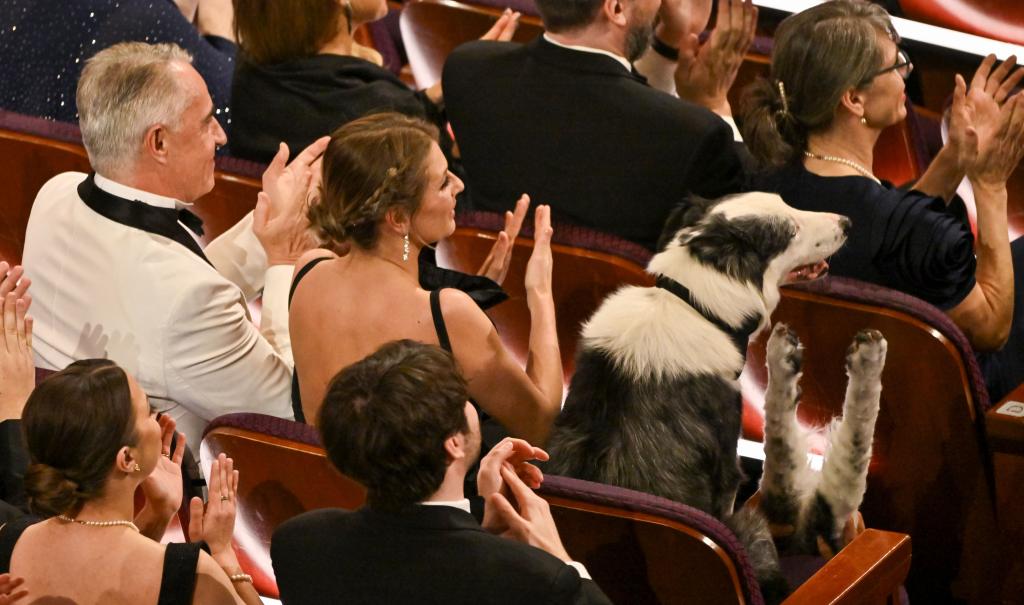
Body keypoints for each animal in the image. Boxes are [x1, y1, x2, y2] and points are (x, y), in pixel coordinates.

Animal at [544, 191, 888, 597]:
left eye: (788, 203)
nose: (847, 223)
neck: (693, 306)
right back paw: (862, 360)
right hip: (753, 527)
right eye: (790, 229)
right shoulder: (728, 476)